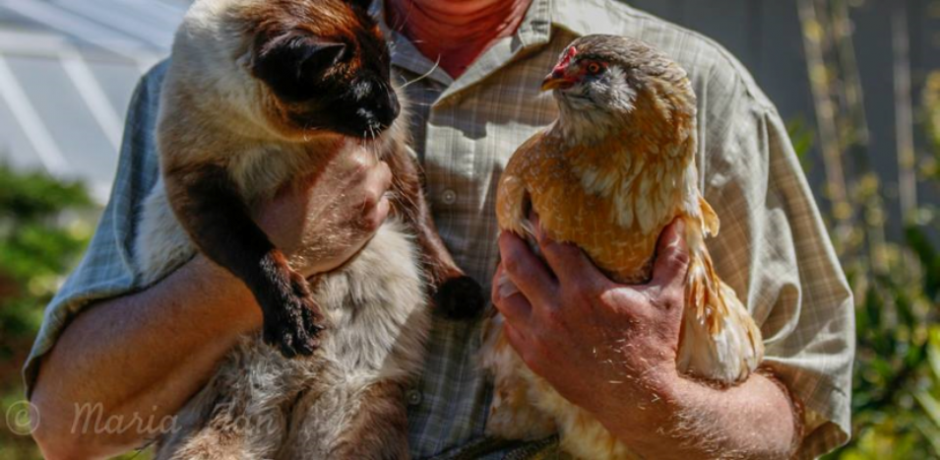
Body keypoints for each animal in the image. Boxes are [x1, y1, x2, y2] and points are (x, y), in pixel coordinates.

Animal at [132, 0, 482, 454]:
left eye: (390, 70)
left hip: (345, 413)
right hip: (227, 422)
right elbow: (257, 253)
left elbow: (426, 231)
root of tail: (298, 381)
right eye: (362, 94)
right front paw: (294, 319)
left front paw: (460, 292)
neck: (286, 139)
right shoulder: (199, 187)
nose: (394, 108)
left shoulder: (390, 157)